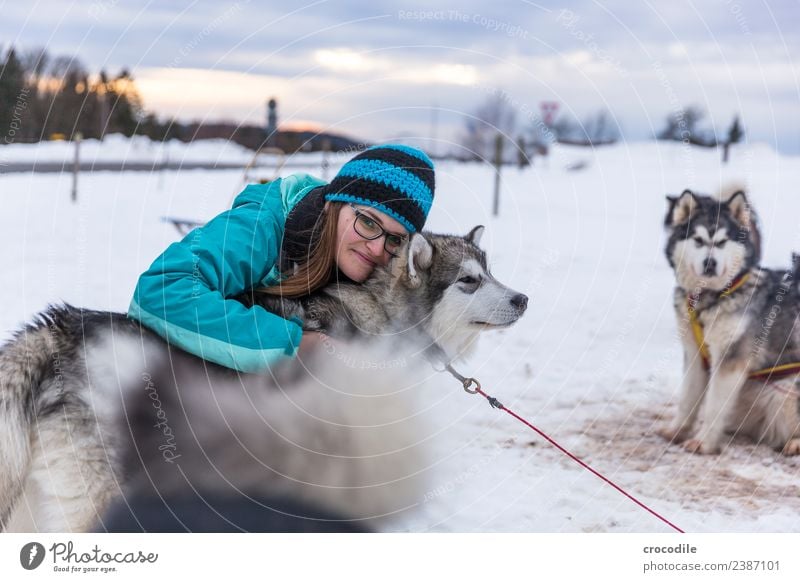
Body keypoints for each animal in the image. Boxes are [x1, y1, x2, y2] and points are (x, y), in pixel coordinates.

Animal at [660, 187, 800, 456]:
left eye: (723, 242)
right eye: (698, 240)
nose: (710, 262)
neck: (710, 299)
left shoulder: (731, 359)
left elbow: (714, 405)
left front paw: (703, 442)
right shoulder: (695, 355)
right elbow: (688, 400)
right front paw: (678, 430)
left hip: (787, 388)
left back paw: (795, 443)